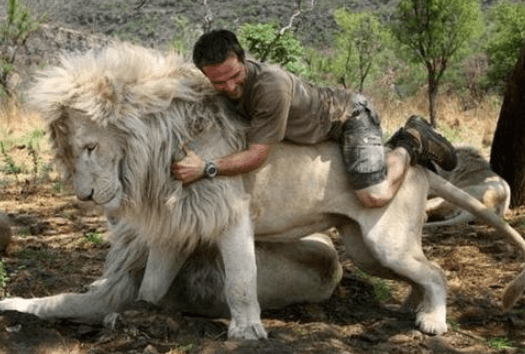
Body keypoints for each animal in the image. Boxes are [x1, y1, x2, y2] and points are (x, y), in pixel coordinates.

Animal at [1, 42, 524, 342]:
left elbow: (240, 279)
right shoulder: (177, 225)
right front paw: (137, 313)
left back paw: (432, 320)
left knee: (436, 272)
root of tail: (413, 170)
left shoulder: (230, 215)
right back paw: (413, 305)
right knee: (419, 274)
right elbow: (149, 286)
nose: (85, 197)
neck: (159, 150)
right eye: (69, 155)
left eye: (91, 147)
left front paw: (247, 330)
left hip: (383, 234)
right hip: (364, 247)